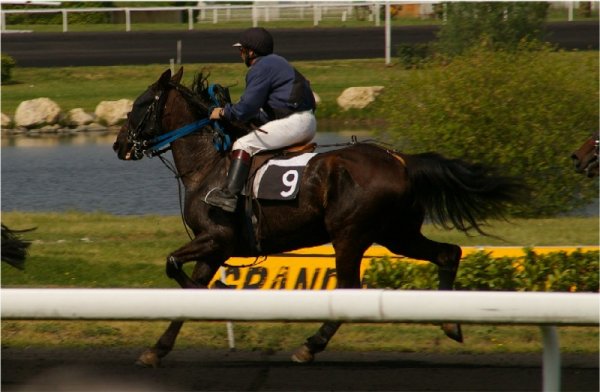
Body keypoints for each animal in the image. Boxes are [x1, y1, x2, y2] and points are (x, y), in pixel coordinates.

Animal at [112, 68, 524, 368]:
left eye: (140, 104)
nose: (119, 145)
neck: (208, 164)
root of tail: (400, 160)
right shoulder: (214, 249)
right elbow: (186, 292)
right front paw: (157, 349)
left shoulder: (216, 238)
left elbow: (173, 266)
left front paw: (214, 297)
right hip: (397, 233)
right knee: (448, 253)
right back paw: (451, 321)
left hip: (350, 235)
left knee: (349, 289)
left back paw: (311, 345)